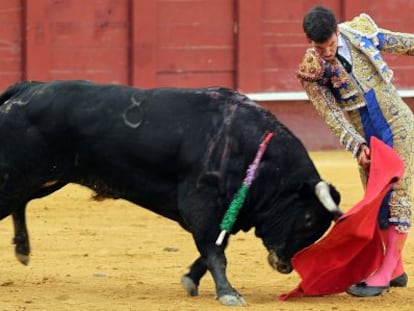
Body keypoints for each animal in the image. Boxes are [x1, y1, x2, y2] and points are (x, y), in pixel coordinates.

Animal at [0, 80, 340, 308]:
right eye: (308, 220)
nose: (285, 265)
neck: (254, 150)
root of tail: (28, 87)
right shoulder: (203, 204)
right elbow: (215, 251)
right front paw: (228, 293)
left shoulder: (226, 211)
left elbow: (214, 248)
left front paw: (191, 279)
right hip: (20, 173)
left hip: (42, 179)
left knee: (21, 202)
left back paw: (23, 249)